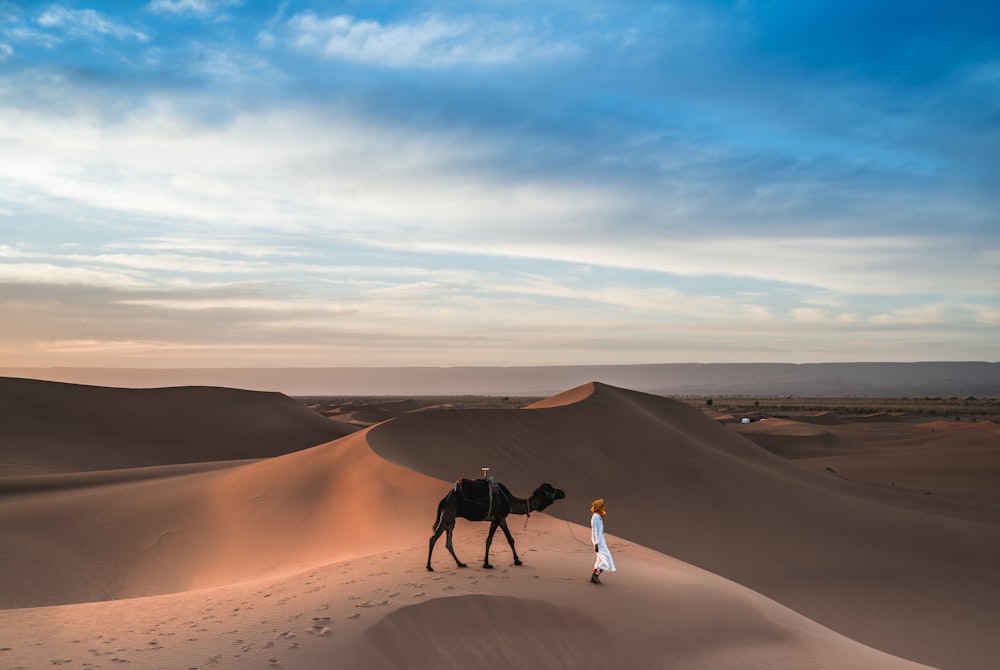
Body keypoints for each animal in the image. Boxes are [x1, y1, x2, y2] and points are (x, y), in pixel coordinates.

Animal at [424, 478, 564, 572]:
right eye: (550, 489)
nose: (563, 492)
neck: (510, 502)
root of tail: (445, 498)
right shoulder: (497, 518)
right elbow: (489, 540)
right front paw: (486, 564)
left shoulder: (502, 519)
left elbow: (510, 539)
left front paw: (517, 560)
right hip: (449, 514)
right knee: (433, 538)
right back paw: (429, 566)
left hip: (451, 518)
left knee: (448, 542)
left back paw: (460, 563)